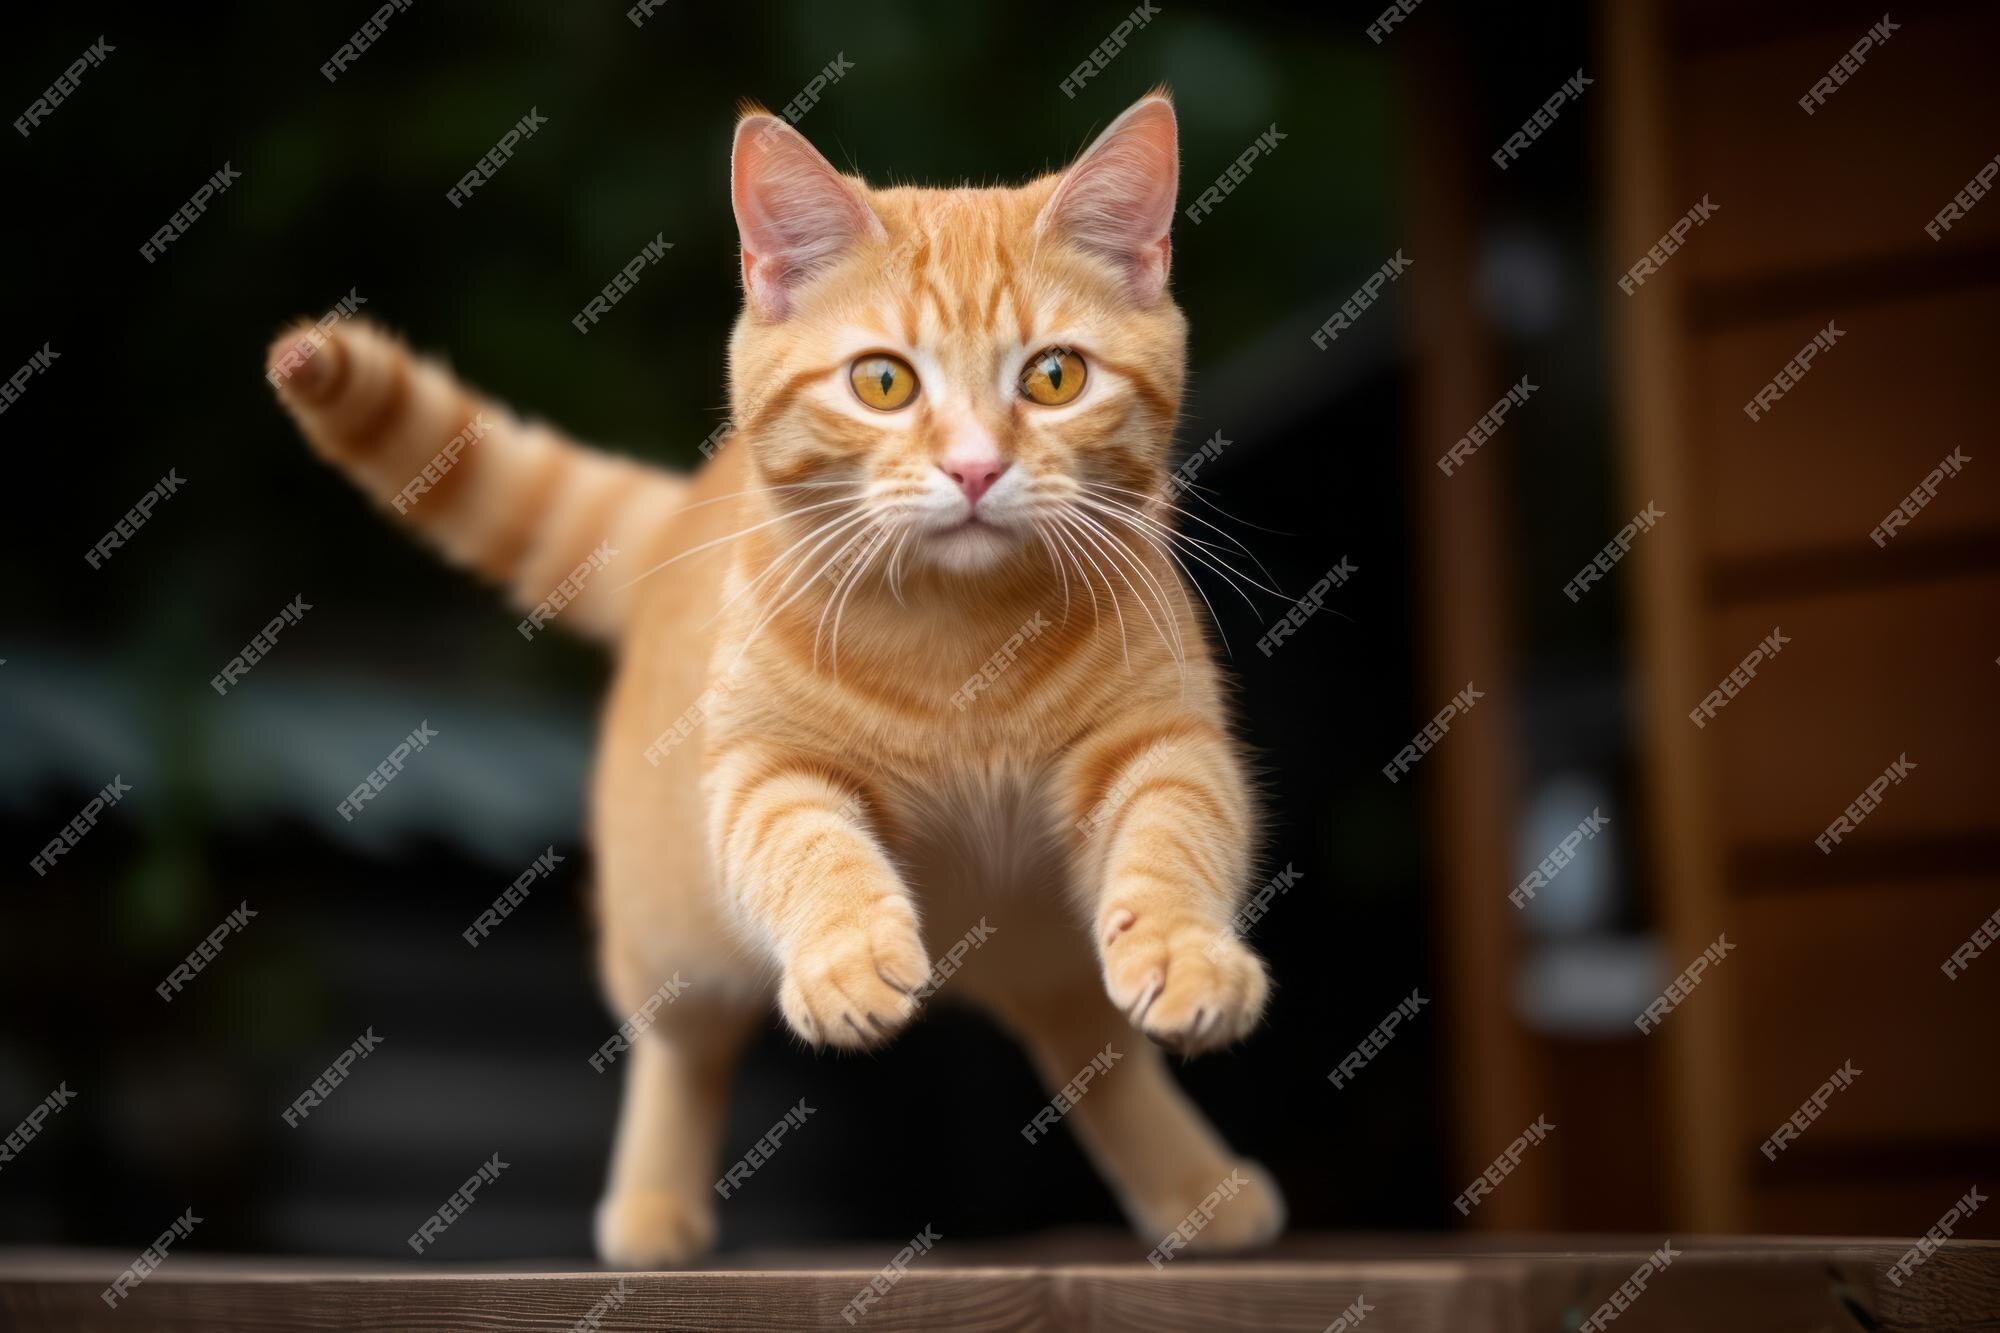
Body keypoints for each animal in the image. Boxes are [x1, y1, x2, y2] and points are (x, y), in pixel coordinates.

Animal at [266, 91, 1280, 1256]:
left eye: (1053, 376)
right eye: (883, 381)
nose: (976, 467)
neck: (961, 640)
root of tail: (683, 509)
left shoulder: (1162, 743)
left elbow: (1172, 844)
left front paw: (1188, 954)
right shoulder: (766, 772)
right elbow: (815, 854)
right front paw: (846, 956)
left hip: (1042, 945)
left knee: (1089, 1048)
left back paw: (1193, 1186)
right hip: (671, 933)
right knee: (681, 1048)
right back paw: (652, 1209)